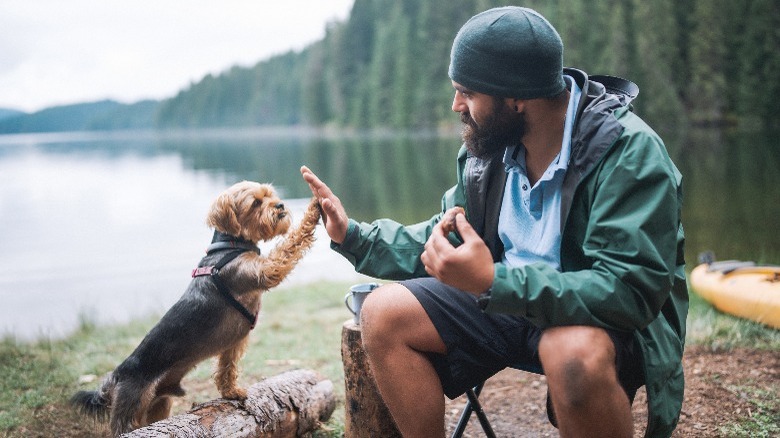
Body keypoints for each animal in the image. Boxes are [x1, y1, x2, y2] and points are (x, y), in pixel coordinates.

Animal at [70, 181, 318, 434]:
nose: (280, 206)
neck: (230, 246)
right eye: (255, 203)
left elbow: (227, 368)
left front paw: (231, 391)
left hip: (159, 404)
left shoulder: (232, 344)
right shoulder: (265, 270)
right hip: (131, 407)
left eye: (270, 195)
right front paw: (315, 208)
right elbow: (290, 245)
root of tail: (117, 375)